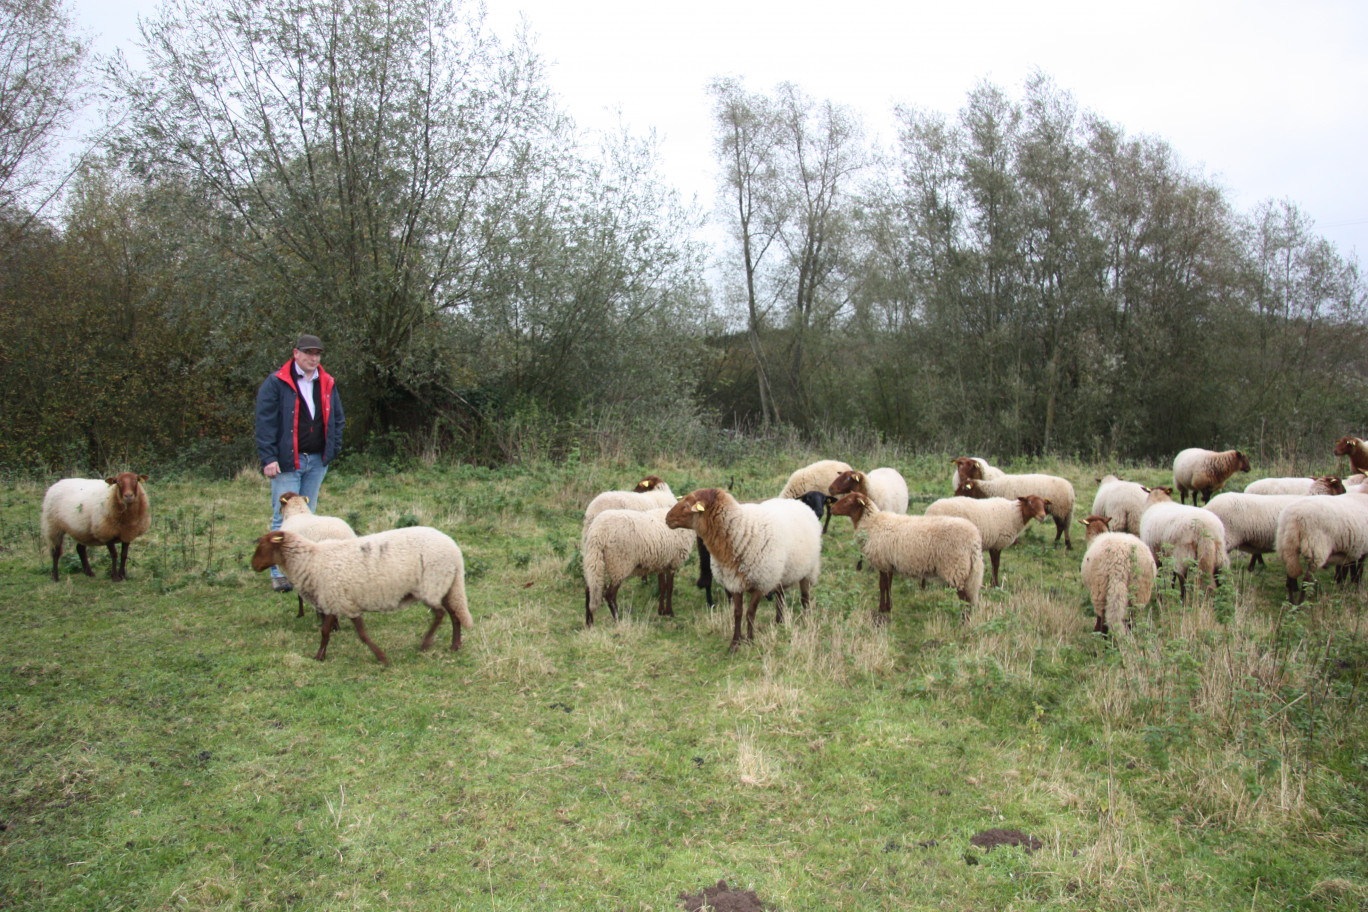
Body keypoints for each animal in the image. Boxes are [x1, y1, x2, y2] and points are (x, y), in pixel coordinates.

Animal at [250, 525, 470, 667]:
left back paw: (425, 644)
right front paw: (320, 656)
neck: (310, 561)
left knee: (441, 614)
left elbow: (360, 635)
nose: (253, 565)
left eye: (263, 546)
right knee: (453, 613)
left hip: (431, 584)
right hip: (443, 584)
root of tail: (455, 550)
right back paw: (455, 645)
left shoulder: (338, 600)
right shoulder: (336, 601)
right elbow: (326, 631)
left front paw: (382, 658)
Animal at [664, 489, 815, 653]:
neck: (740, 531)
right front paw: (735, 643)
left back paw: (805, 619)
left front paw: (749, 640)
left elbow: (750, 613)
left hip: (808, 571)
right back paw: (779, 622)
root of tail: (797, 502)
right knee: (780, 597)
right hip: (780, 573)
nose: (667, 518)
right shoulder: (734, 582)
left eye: (686, 505)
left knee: (805, 597)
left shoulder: (760, 583)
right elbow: (737, 613)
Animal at [826, 492, 979, 620]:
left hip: (955, 568)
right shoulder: (889, 563)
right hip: (967, 571)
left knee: (965, 598)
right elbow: (888, 585)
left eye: (848, 500)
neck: (872, 523)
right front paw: (888, 607)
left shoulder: (882, 561)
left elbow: (882, 585)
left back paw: (964, 622)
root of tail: (974, 539)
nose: (832, 509)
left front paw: (881, 608)